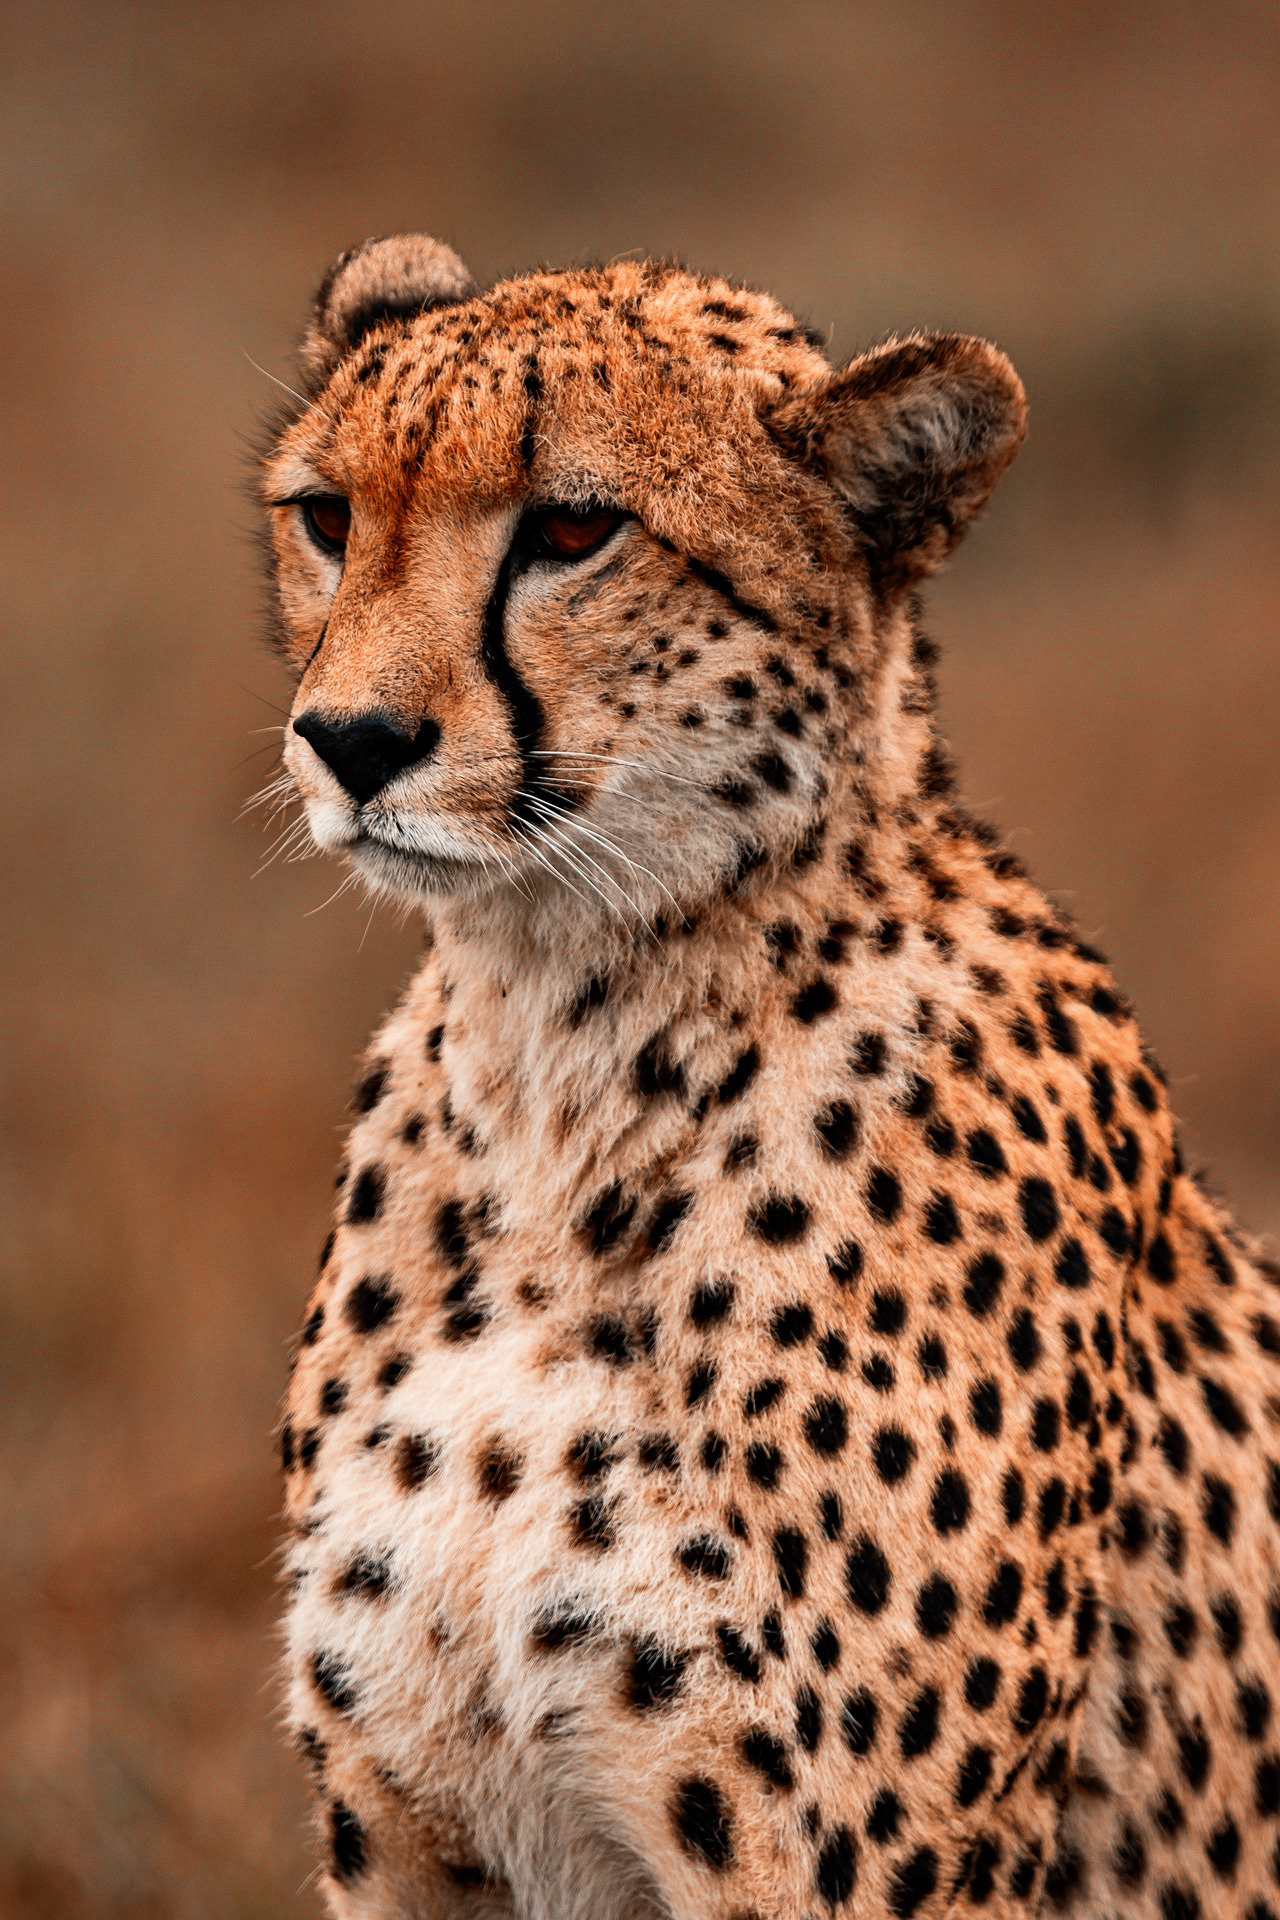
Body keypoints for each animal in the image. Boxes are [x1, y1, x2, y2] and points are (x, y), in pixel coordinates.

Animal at [263, 233, 1280, 1920]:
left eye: (575, 529)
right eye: (328, 517)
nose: (349, 739)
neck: (558, 1057)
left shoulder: (843, 1874)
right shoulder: (416, 1839)